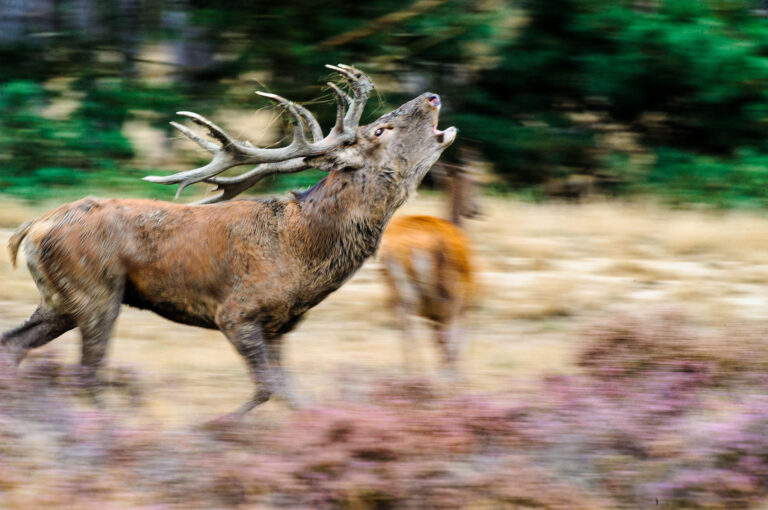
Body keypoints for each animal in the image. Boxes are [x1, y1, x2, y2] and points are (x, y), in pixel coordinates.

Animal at [1, 62, 456, 414]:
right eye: (381, 130)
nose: (432, 96)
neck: (302, 255)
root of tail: (34, 227)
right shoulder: (235, 312)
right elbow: (267, 389)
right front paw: (213, 428)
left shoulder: (280, 326)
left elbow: (291, 395)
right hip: (96, 293)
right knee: (86, 374)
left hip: (60, 300)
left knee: (14, 345)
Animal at [380, 149, 484, 376]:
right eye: (477, 182)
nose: (478, 209)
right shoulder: (467, 296)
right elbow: (457, 334)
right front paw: (455, 369)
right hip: (446, 287)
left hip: (396, 287)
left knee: (402, 320)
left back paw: (411, 369)